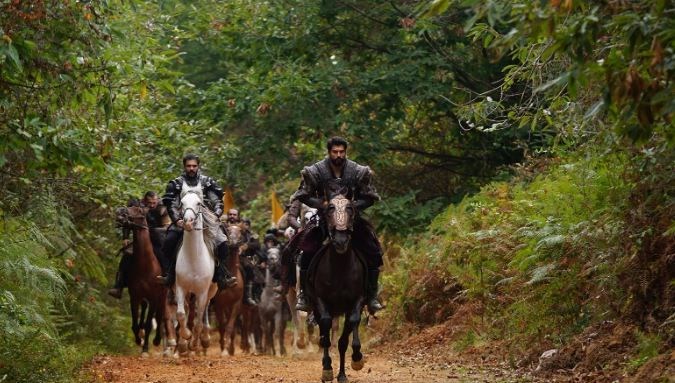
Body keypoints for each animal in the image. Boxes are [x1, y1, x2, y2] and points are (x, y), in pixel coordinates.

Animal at [117, 207, 168, 356]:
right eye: (128, 207)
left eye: (139, 211)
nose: (120, 214)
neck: (145, 264)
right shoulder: (135, 296)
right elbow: (135, 323)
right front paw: (138, 339)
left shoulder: (153, 297)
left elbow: (149, 323)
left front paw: (145, 348)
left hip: (162, 295)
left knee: (160, 315)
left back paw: (157, 340)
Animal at [172, 183, 219, 356]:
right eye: (182, 202)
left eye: (199, 203)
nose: (188, 222)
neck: (193, 259)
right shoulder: (179, 287)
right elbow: (180, 314)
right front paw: (185, 338)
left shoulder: (202, 292)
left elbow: (198, 320)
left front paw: (194, 344)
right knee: (186, 310)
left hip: (211, 291)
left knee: (203, 312)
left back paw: (204, 339)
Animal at [211, 224, 246, 358]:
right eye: (229, 230)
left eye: (240, 231)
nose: (233, 242)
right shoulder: (219, 305)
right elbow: (222, 326)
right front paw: (223, 349)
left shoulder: (236, 304)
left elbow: (230, 327)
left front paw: (227, 350)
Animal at [308, 195, 368, 383]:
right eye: (329, 211)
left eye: (350, 209)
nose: (341, 241)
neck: (340, 268)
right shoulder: (321, 300)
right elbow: (326, 328)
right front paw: (327, 368)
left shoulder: (357, 300)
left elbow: (349, 330)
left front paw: (356, 359)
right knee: (323, 330)